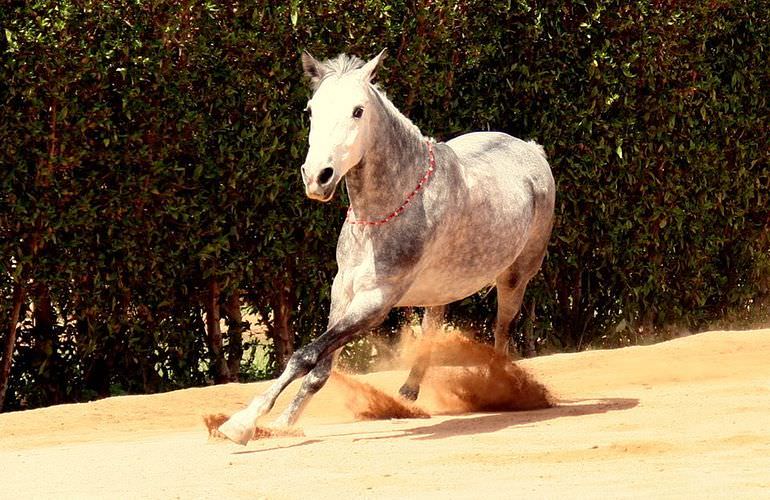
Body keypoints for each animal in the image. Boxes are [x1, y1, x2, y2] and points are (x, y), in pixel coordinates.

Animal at [219, 48, 556, 444]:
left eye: (358, 110)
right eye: (312, 109)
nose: (317, 178)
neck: (384, 212)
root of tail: (533, 150)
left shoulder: (377, 300)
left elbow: (306, 354)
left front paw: (241, 423)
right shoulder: (343, 291)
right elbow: (319, 366)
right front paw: (281, 424)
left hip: (515, 277)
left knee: (502, 330)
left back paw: (498, 389)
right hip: (443, 284)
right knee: (433, 322)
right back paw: (409, 392)